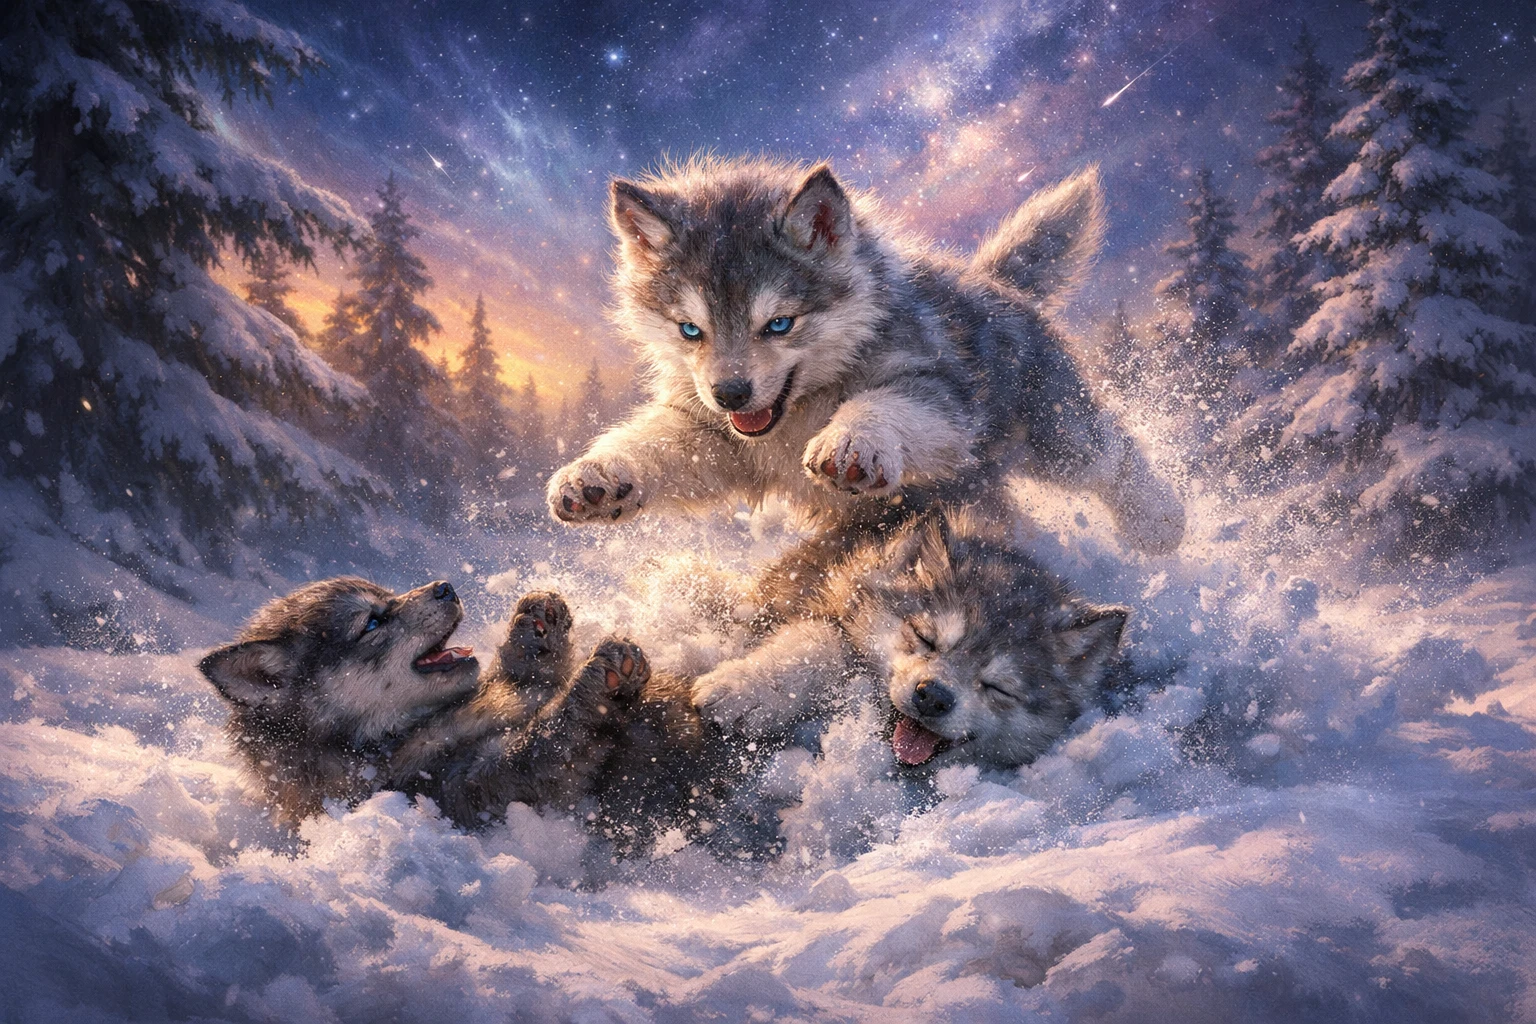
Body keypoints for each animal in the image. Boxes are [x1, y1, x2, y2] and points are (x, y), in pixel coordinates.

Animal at [547, 155, 1184, 554]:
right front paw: (596, 476)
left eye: (779, 324)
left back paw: (1161, 525)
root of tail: (993, 281)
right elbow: (652, 443)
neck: (799, 412)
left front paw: (853, 441)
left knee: (1116, 457)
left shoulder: (937, 394)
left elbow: (882, 406)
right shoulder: (712, 437)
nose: (730, 394)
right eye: (689, 330)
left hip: (1057, 442)